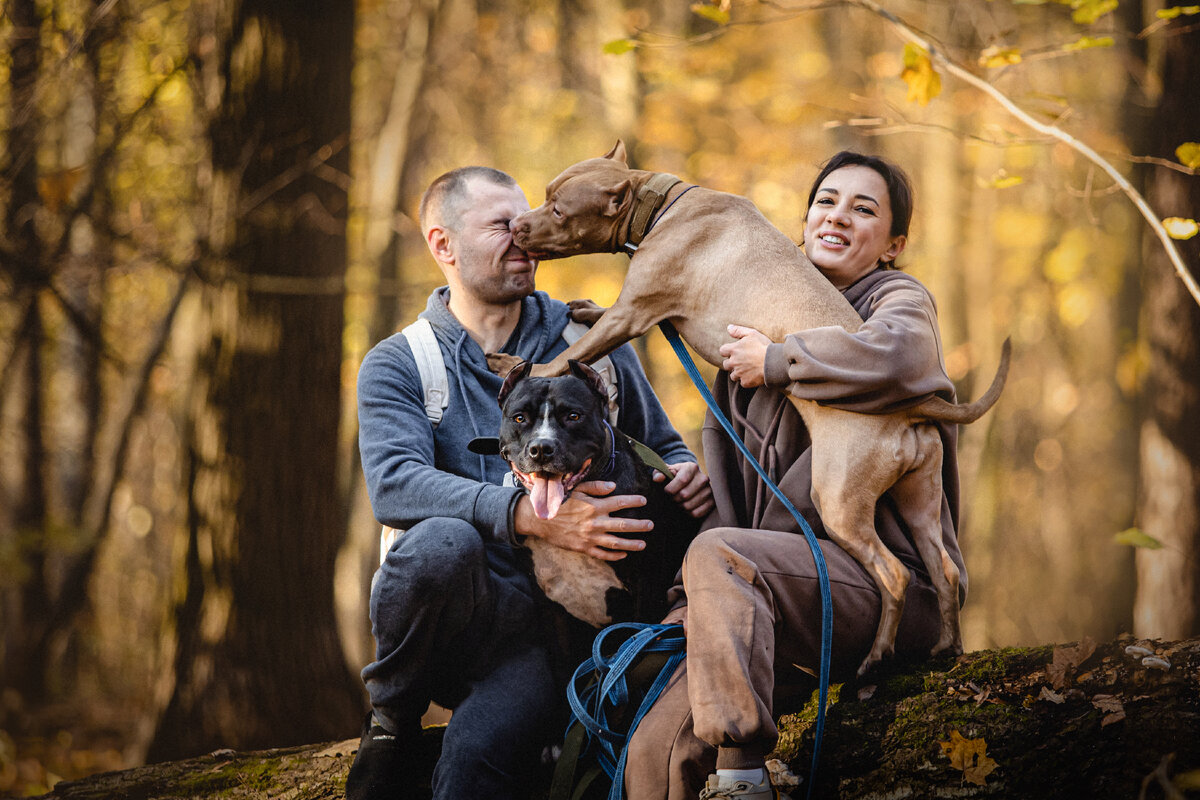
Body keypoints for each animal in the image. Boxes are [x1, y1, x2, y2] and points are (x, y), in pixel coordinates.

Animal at [492, 142, 1008, 676]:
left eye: (558, 210)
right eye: (547, 194)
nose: (515, 226)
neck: (664, 207)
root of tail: (910, 410)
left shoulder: (632, 311)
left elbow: (572, 353)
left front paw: (519, 365)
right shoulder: (631, 309)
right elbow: (592, 319)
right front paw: (580, 309)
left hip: (840, 503)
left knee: (894, 575)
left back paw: (876, 657)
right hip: (920, 501)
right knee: (945, 571)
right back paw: (946, 647)